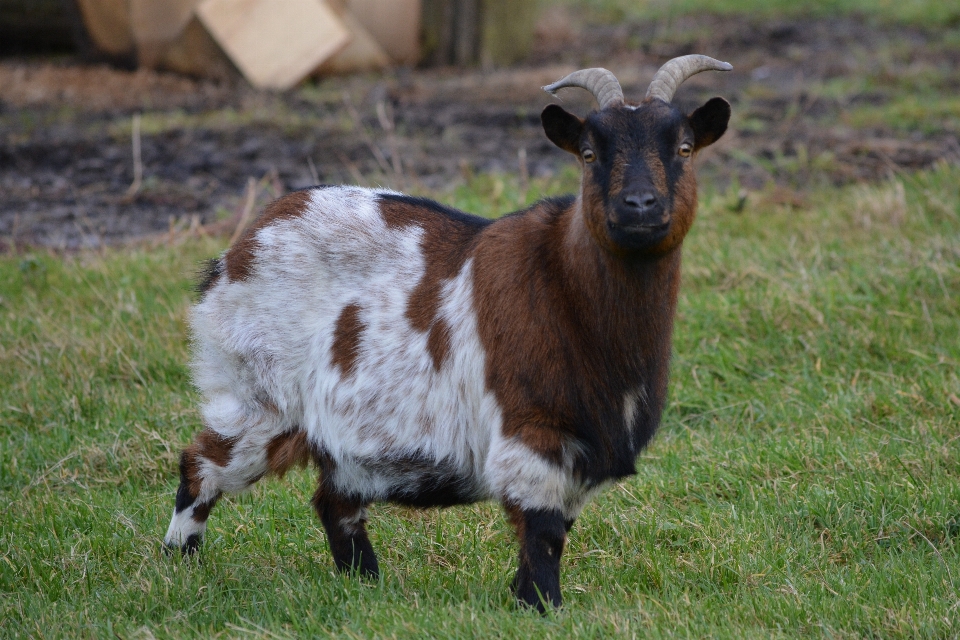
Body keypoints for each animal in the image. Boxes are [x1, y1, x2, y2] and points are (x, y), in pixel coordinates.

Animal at [165, 55, 732, 608]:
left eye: (684, 148)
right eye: (589, 154)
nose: (639, 205)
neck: (564, 288)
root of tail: (240, 248)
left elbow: (553, 530)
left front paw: (524, 598)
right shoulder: (531, 430)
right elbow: (544, 531)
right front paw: (543, 607)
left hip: (337, 435)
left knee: (334, 502)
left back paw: (365, 586)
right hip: (259, 396)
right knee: (202, 465)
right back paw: (179, 564)